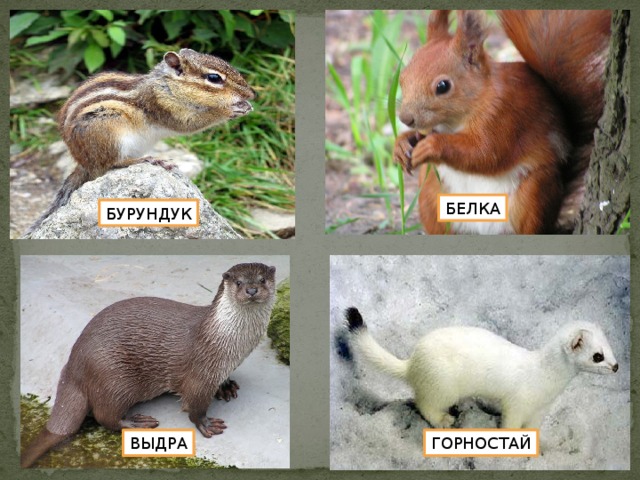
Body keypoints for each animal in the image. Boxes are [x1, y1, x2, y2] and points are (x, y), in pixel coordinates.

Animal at [24, 48, 255, 236]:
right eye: (214, 78)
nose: (251, 93)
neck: (167, 85)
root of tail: (83, 162)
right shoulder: (163, 106)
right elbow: (190, 124)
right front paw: (230, 110)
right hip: (109, 131)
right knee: (111, 164)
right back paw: (150, 160)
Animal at [393, 10, 611, 234]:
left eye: (443, 86)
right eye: (403, 77)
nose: (405, 118)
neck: (454, 122)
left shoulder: (504, 114)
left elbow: (486, 153)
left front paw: (432, 145)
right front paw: (402, 144)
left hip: (534, 191)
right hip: (431, 192)